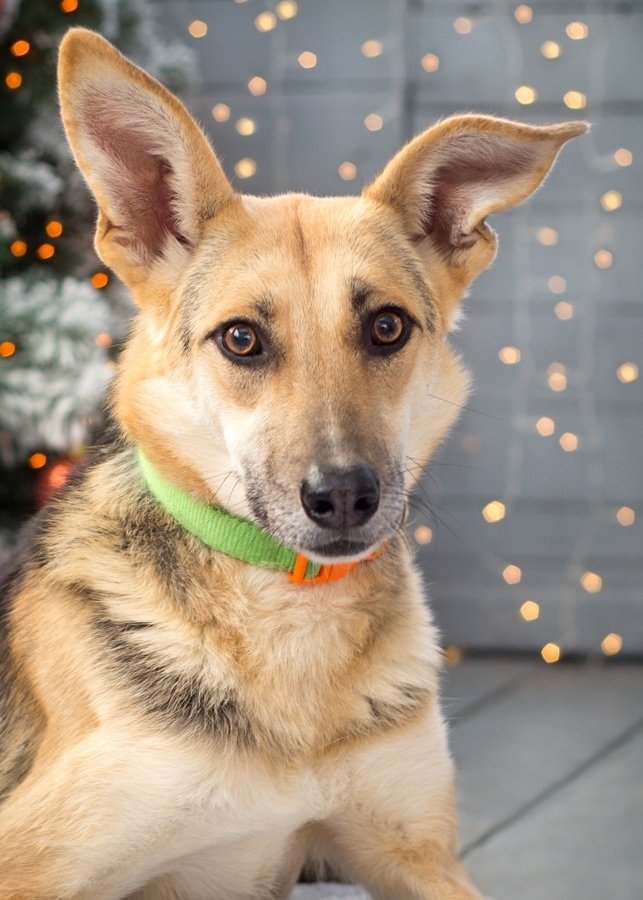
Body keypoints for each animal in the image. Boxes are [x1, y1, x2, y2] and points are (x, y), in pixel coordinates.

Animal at [0, 28, 588, 900]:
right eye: (241, 339)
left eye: (386, 326)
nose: (343, 496)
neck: (286, 611)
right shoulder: (34, 859)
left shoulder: (421, 857)